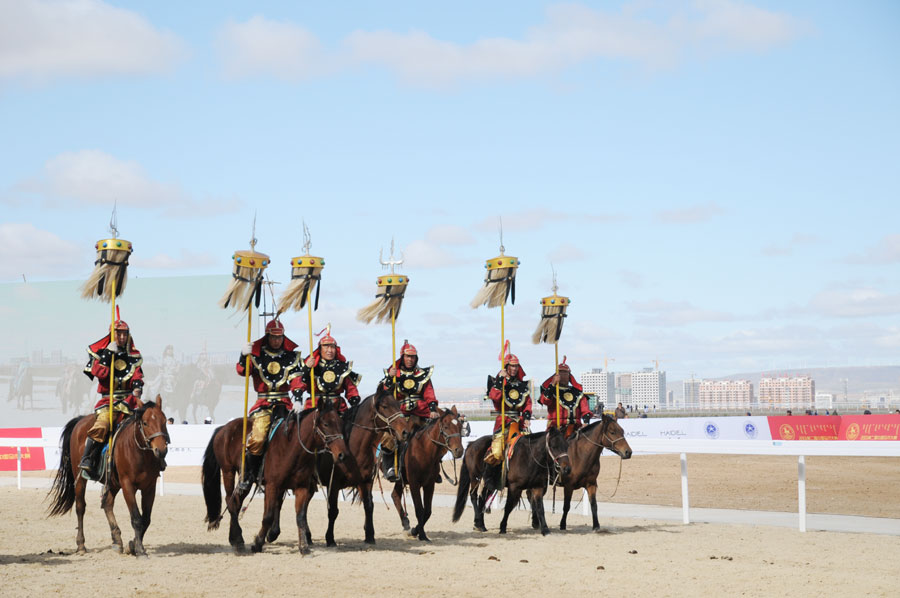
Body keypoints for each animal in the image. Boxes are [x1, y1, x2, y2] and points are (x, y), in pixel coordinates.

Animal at [47, 398, 171, 556]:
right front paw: (140, 550)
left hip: (112, 481)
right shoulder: (127, 485)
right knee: (80, 507)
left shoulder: (150, 487)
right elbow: (136, 518)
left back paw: (117, 540)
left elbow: (146, 519)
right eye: (145, 423)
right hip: (80, 477)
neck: (139, 452)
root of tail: (81, 420)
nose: (161, 450)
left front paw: (133, 545)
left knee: (107, 504)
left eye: (164, 421)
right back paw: (81, 545)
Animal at [202, 398, 354, 556]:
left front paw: (304, 547)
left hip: (245, 480)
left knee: (237, 502)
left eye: (341, 424)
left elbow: (300, 517)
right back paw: (238, 541)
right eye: (326, 424)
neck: (291, 448)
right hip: (228, 472)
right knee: (230, 501)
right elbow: (268, 516)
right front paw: (257, 543)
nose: (343, 454)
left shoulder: (302, 487)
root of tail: (223, 429)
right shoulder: (272, 486)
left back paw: (234, 539)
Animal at [390, 408, 464, 544]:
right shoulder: (414, 484)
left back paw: (406, 524)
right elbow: (419, 510)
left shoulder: (429, 484)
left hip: (400, 481)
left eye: (460, 427)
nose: (459, 450)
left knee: (395, 496)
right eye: (446, 426)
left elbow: (427, 511)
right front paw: (422, 535)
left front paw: (415, 530)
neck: (424, 451)